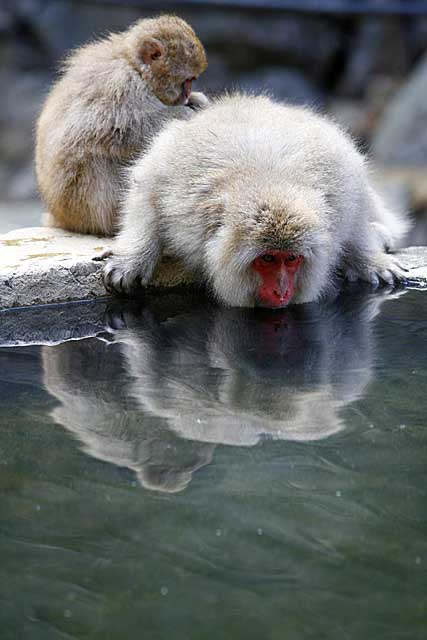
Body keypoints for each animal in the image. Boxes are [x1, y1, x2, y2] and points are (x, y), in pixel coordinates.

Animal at [36, 16, 210, 236]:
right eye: (187, 80)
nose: (187, 95)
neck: (134, 66)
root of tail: (63, 219)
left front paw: (197, 101)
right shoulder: (120, 84)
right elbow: (116, 130)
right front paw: (185, 113)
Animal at [103, 93, 412, 310]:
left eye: (291, 259)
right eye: (267, 259)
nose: (281, 291)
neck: (267, 181)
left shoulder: (340, 191)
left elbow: (355, 207)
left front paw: (369, 259)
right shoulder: (179, 193)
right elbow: (148, 185)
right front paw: (132, 259)